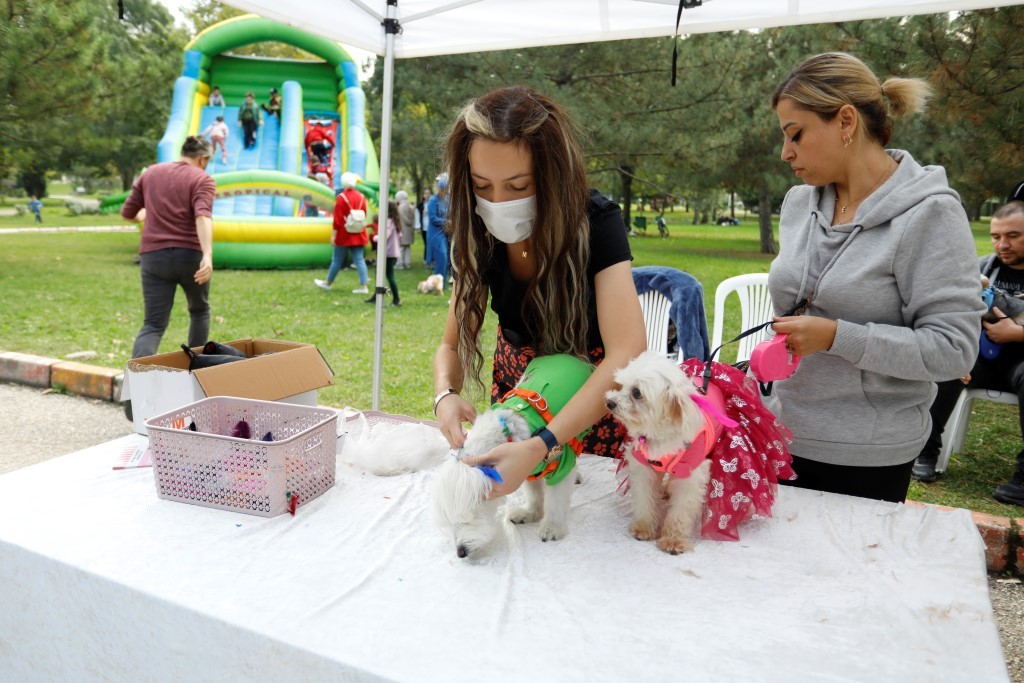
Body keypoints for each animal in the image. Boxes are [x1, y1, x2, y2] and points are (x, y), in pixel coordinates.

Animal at [430, 409, 577, 557]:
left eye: (466, 518)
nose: (460, 553)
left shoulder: (561, 465)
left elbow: (556, 500)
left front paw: (551, 527)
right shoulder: (527, 468)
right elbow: (534, 493)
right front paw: (530, 513)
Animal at [602, 352, 708, 557]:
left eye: (636, 392)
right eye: (622, 385)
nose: (609, 402)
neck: (661, 435)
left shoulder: (689, 476)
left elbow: (681, 510)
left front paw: (674, 539)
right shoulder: (644, 467)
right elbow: (645, 498)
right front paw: (644, 528)